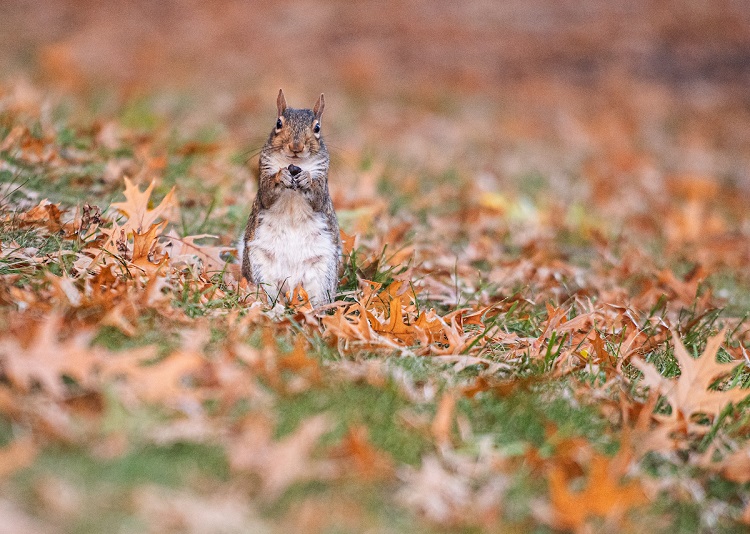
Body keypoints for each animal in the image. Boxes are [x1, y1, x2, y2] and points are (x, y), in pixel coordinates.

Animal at [242, 90, 342, 304]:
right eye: (278, 123)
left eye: (317, 127)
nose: (296, 146)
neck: (295, 164)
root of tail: (291, 285)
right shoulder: (264, 171)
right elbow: (266, 194)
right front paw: (281, 176)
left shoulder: (323, 178)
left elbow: (318, 199)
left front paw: (306, 178)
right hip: (259, 269)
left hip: (323, 274)